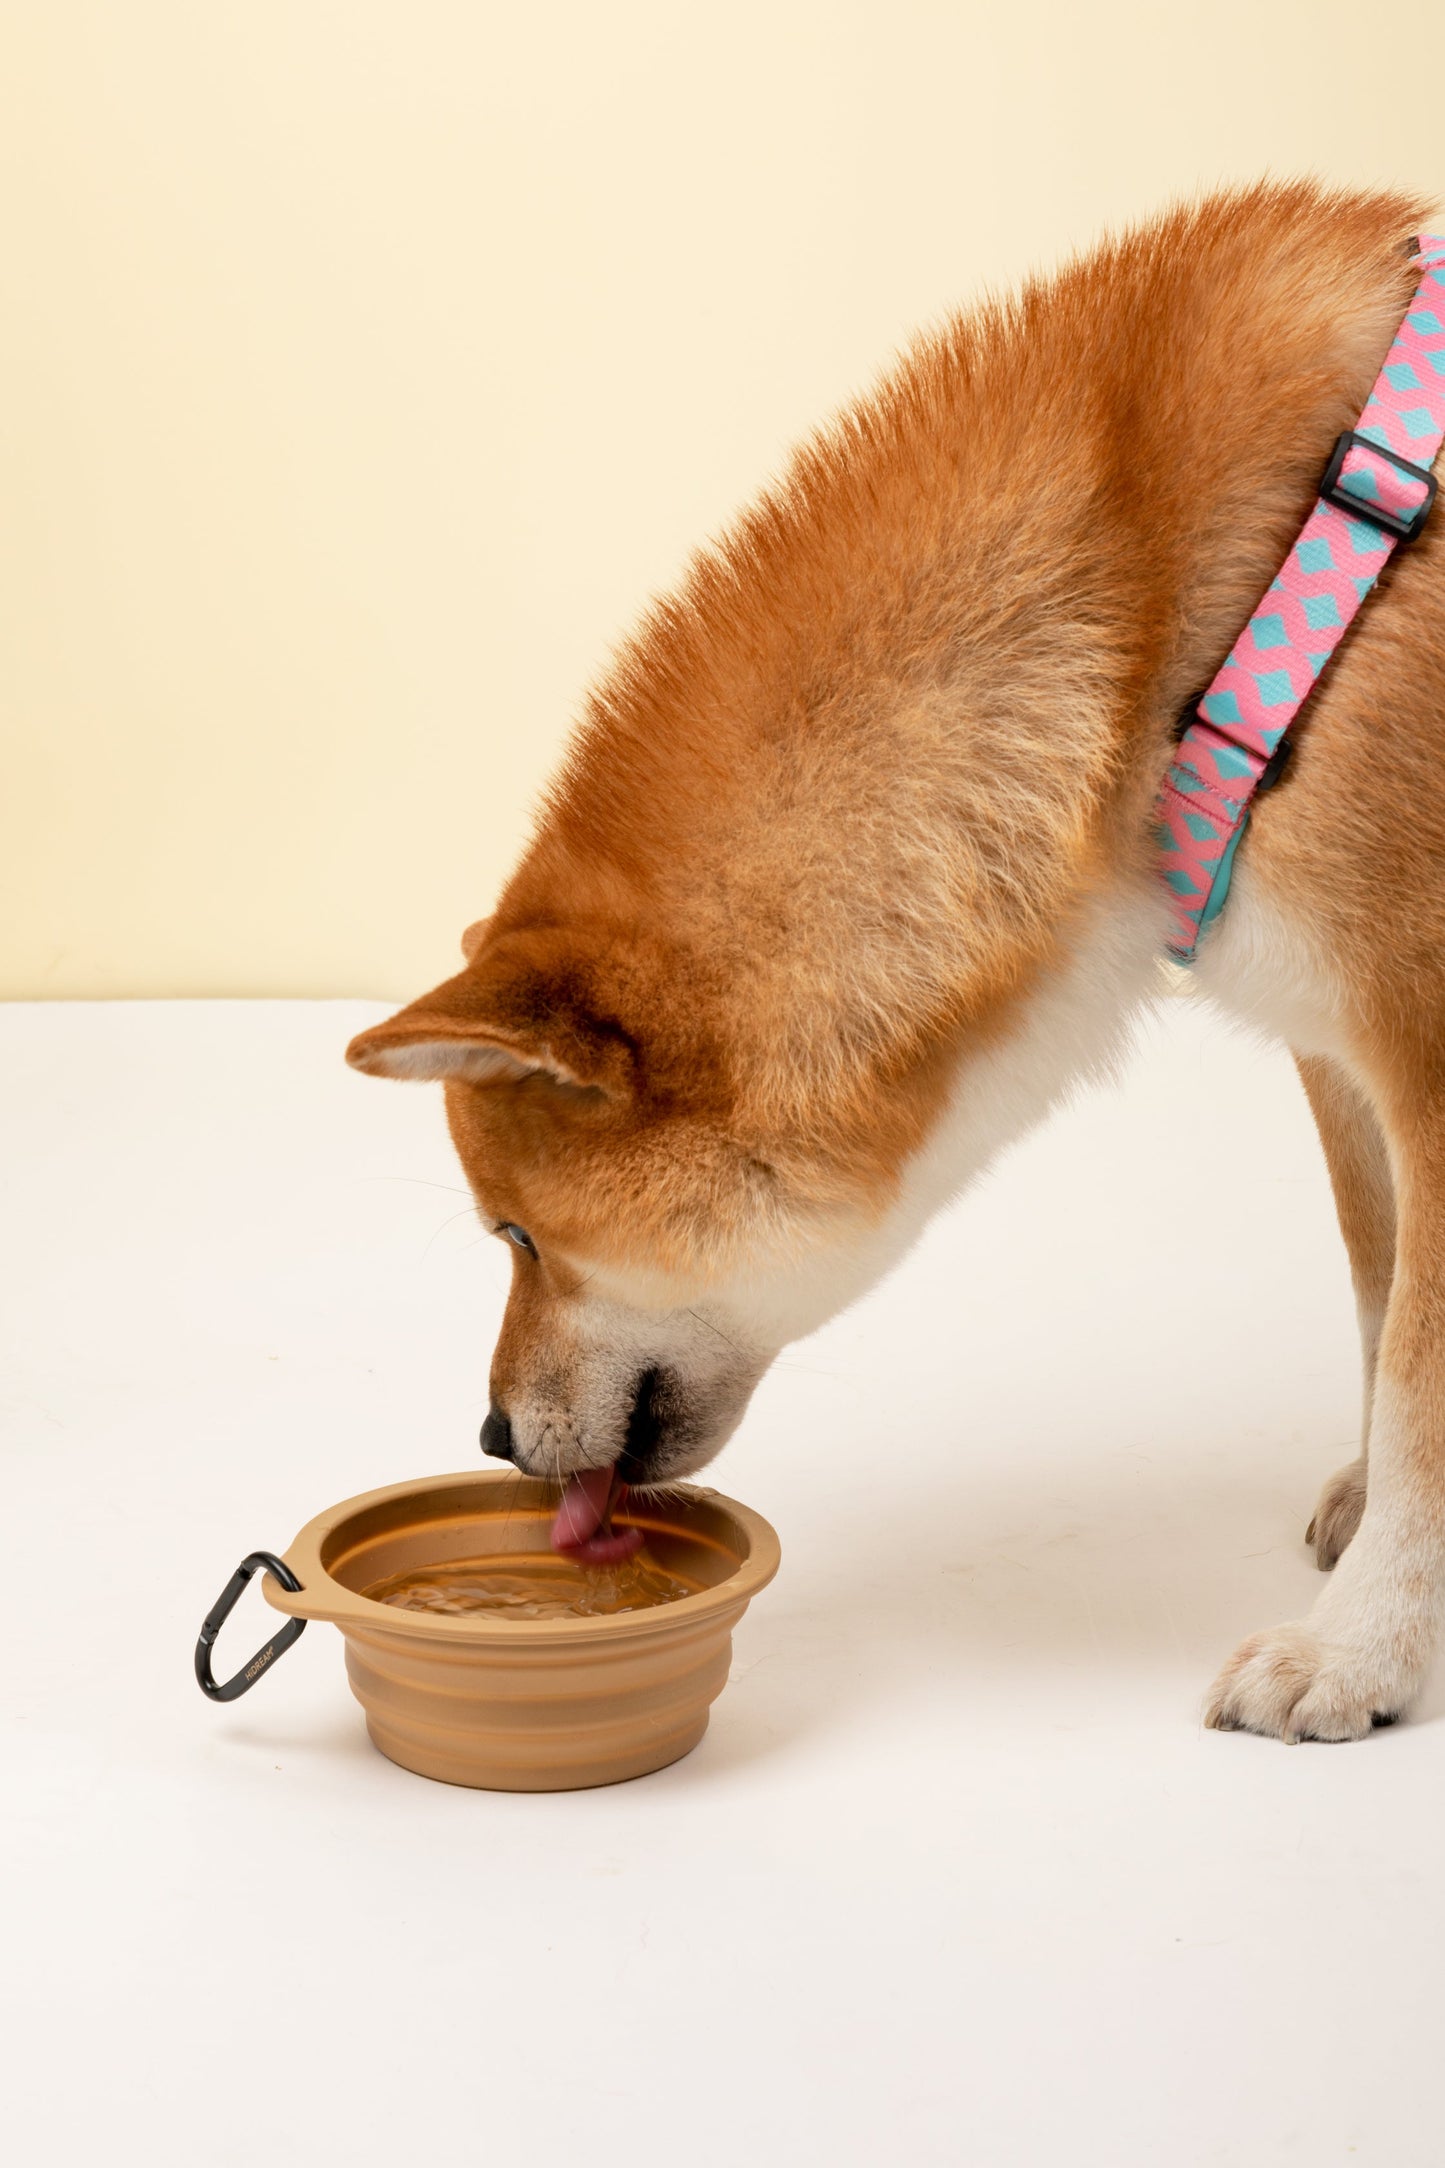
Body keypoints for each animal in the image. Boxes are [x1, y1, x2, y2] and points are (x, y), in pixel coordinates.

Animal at [346, 186, 1445, 1743]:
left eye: (516, 1238)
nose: (490, 1429)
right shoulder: (1339, 1053)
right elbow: (1377, 1301)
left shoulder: (1422, 1047)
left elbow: (1420, 1373)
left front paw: (1363, 1647)